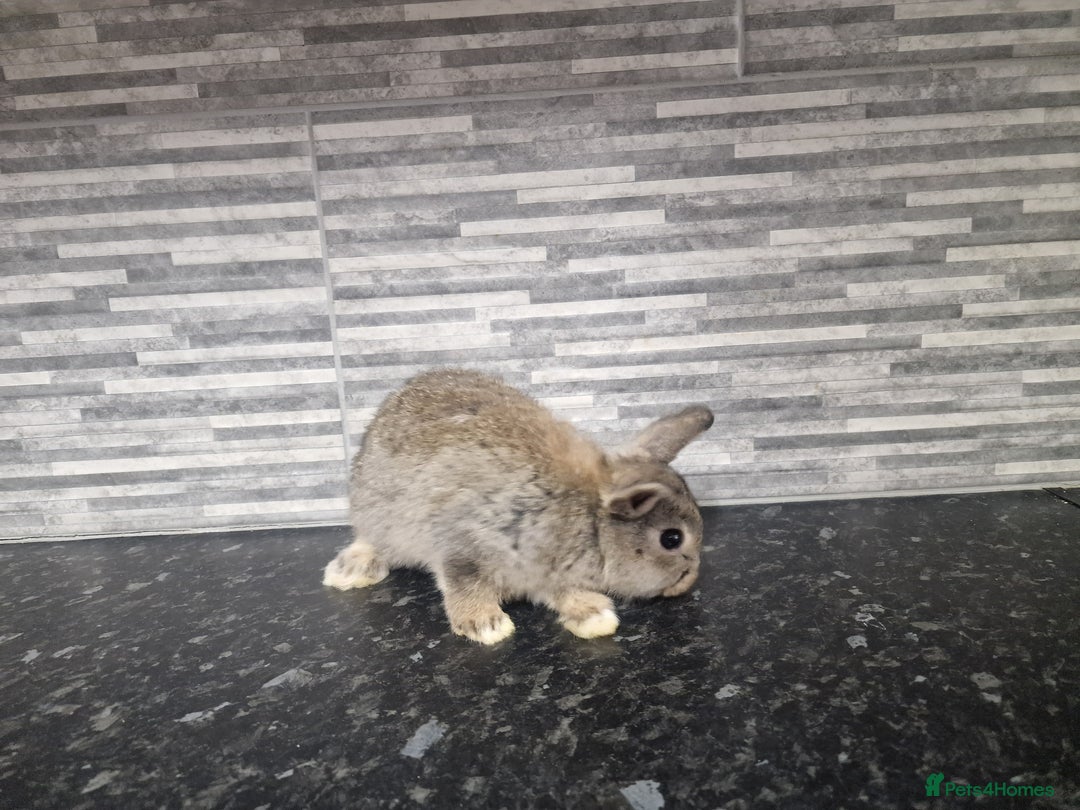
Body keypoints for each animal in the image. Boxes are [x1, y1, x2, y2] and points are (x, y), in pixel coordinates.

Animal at [323, 367, 714, 645]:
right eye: (672, 539)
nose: (689, 581)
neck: (588, 519)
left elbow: (564, 593)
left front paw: (594, 617)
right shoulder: (464, 546)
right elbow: (465, 585)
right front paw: (486, 626)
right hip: (379, 515)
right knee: (370, 540)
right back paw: (349, 570)